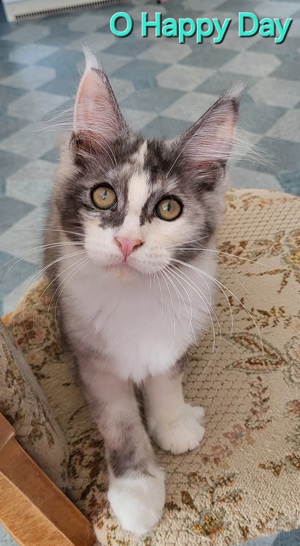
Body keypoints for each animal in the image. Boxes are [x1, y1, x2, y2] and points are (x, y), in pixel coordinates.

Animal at [44, 52, 240, 536]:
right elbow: (120, 426)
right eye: (103, 196)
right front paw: (137, 492)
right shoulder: (94, 362)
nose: (128, 242)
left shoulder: (174, 340)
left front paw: (173, 424)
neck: (134, 301)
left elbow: (166, 384)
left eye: (169, 208)